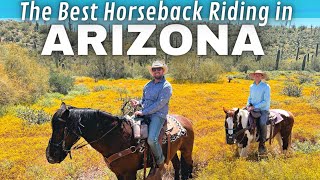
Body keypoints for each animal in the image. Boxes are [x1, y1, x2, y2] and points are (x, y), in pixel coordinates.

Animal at [46, 102, 194, 180]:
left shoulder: (130, 173)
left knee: (189, 164)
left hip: (187, 150)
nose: (50, 156)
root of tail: (186, 120)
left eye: (60, 129)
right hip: (172, 152)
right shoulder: (119, 173)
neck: (117, 138)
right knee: (177, 165)